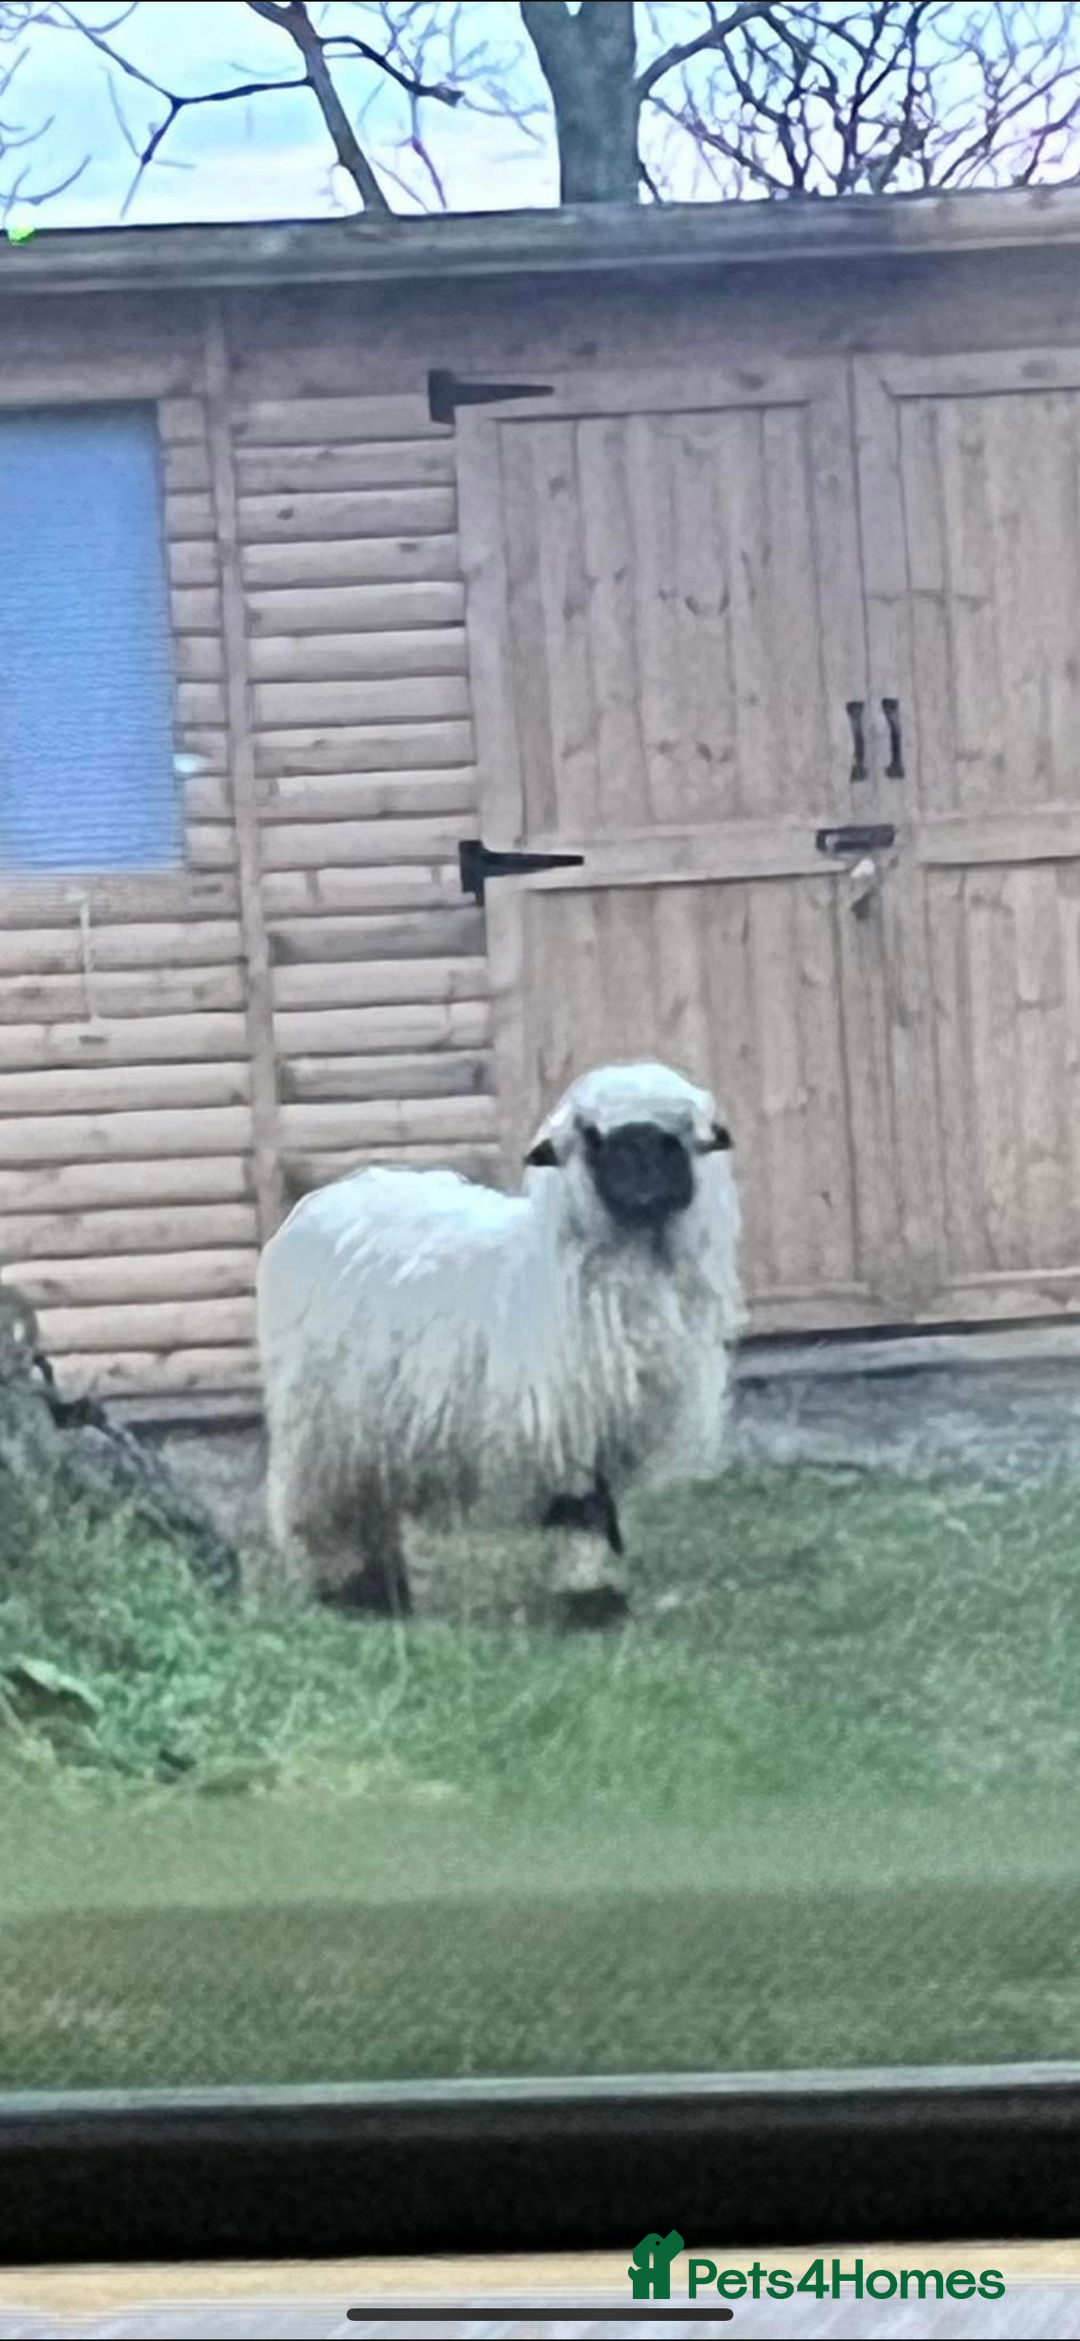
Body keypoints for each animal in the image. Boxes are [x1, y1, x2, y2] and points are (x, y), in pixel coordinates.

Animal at [257, 1061, 745, 1627]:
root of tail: (332, 1195)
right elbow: (581, 1512)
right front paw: (589, 1598)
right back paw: (349, 1590)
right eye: (594, 1138)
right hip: (322, 1416)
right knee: (326, 1506)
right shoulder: (562, 1424)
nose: (643, 1187)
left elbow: (604, 1514)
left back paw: (388, 1595)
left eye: (674, 1139)